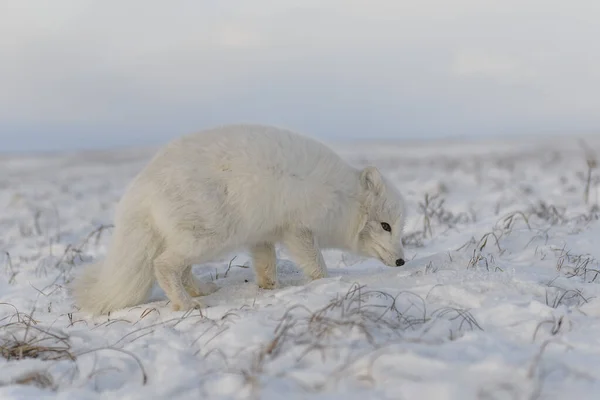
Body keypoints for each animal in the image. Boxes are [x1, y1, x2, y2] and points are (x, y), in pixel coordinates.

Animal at [71, 123, 408, 314]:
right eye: (385, 226)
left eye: (398, 228)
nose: (402, 261)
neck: (342, 196)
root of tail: (139, 189)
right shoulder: (298, 229)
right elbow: (316, 264)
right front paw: (325, 283)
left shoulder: (263, 234)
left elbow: (266, 264)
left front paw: (271, 287)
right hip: (209, 236)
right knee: (164, 265)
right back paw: (187, 304)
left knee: (182, 268)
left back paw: (201, 290)